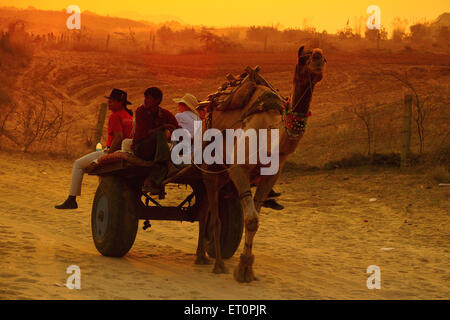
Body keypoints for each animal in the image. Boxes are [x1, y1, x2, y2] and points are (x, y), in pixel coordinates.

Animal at [195, 46, 326, 282]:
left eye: (325, 58)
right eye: (303, 59)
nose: (318, 59)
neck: (269, 134)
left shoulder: (270, 176)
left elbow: (255, 219)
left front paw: (247, 268)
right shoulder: (238, 169)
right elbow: (250, 220)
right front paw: (242, 269)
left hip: (221, 177)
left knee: (204, 211)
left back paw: (202, 257)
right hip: (209, 168)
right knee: (213, 217)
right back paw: (217, 264)